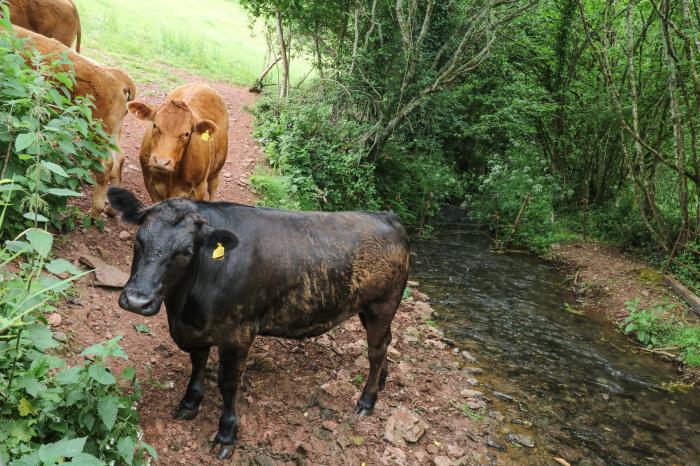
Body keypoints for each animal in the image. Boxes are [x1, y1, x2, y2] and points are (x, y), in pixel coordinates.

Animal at [14, 24, 137, 216]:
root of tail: (117, 76)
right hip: (113, 134)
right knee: (119, 160)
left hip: (96, 134)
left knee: (106, 166)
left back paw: (94, 212)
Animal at [108, 187, 410, 460]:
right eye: (139, 239)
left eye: (186, 250)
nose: (137, 300)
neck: (183, 310)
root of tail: (386, 216)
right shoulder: (197, 329)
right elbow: (197, 364)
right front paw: (189, 404)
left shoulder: (238, 333)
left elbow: (228, 382)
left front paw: (226, 434)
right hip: (370, 310)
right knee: (385, 343)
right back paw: (383, 381)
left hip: (382, 306)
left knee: (376, 351)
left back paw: (367, 400)